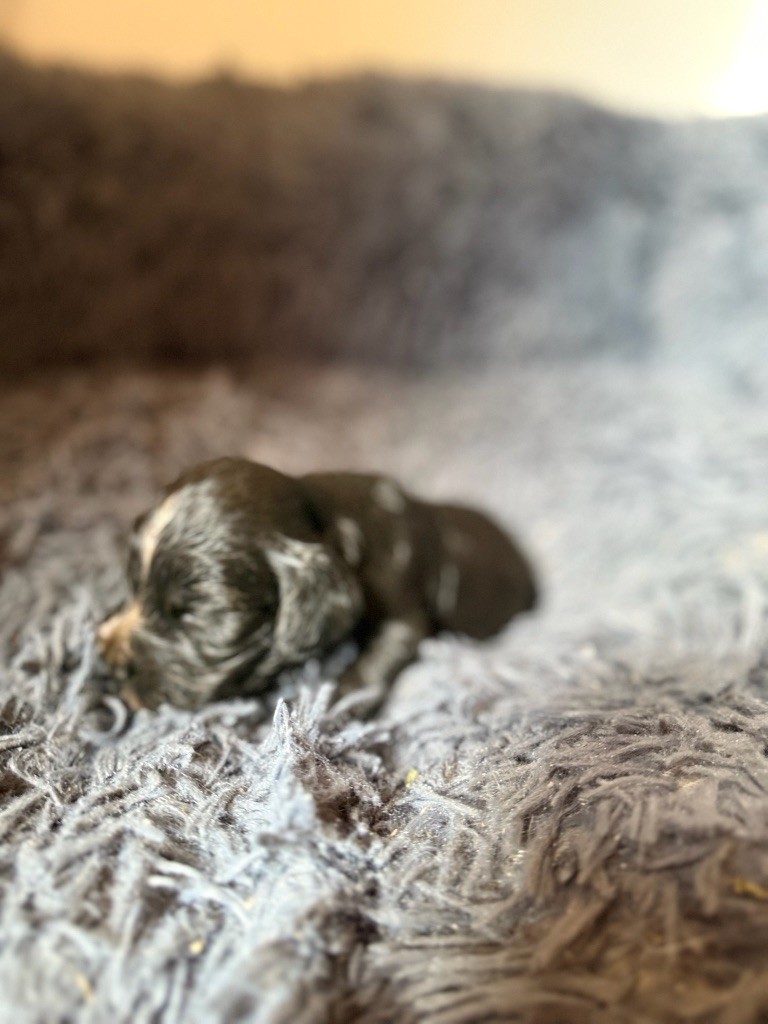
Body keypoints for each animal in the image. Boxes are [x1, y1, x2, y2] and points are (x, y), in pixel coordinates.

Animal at [98, 458, 536, 711]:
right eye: (131, 582)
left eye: (190, 614)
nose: (107, 662)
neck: (330, 516)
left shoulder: (403, 607)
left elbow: (385, 652)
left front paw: (339, 698)